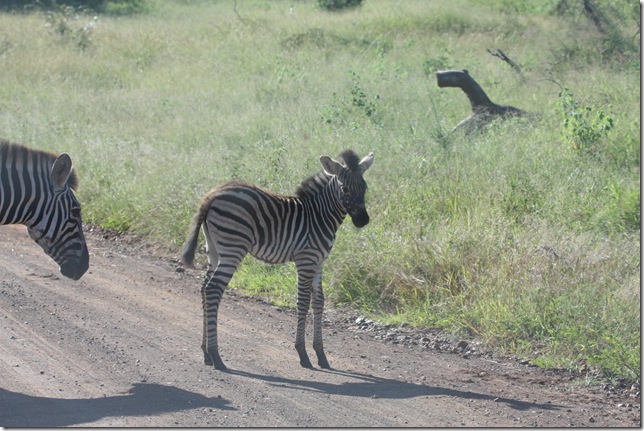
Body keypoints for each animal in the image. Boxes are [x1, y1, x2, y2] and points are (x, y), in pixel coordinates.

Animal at [181, 149, 374, 370]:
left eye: (364, 187)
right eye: (345, 189)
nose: (363, 220)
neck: (319, 215)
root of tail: (212, 195)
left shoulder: (318, 262)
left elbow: (319, 302)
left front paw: (321, 355)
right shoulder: (306, 259)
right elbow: (303, 302)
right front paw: (303, 354)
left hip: (214, 250)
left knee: (205, 288)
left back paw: (206, 353)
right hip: (233, 248)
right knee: (213, 290)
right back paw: (216, 356)